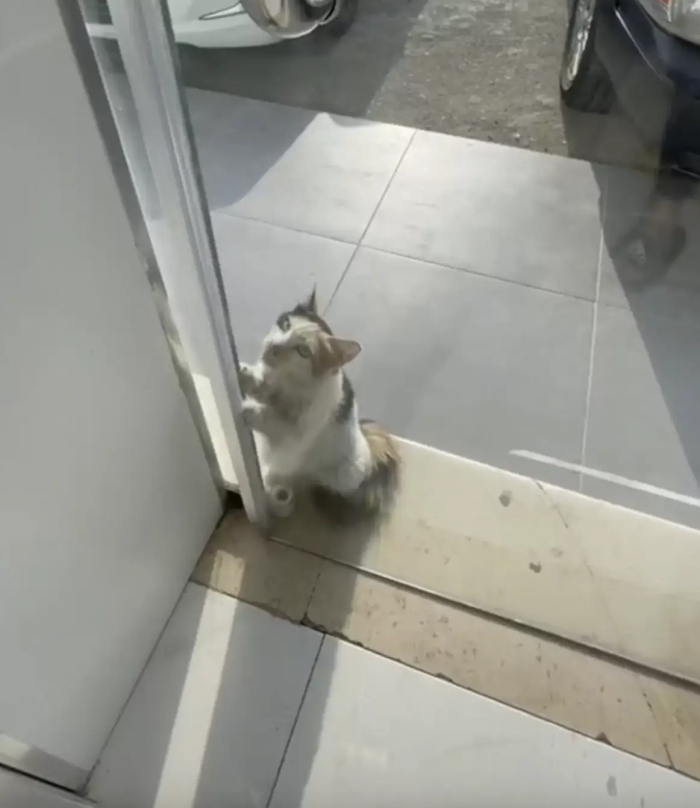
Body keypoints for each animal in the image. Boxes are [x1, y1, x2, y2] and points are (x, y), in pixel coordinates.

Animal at [238, 290, 396, 516]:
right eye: (286, 324)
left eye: (303, 351)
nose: (273, 347)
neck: (289, 382)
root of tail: (367, 443)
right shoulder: (273, 387)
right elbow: (263, 386)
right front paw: (245, 375)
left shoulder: (296, 435)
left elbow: (273, 419)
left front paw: (248, 409)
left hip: (341, 473)